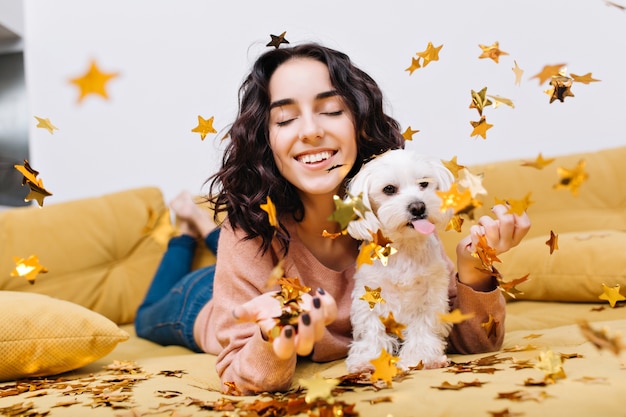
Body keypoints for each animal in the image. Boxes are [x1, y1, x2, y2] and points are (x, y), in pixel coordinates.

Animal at [346, 149, 454, 370]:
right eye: (389, 189)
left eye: (424, 183)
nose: (418, 206)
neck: (404, 246)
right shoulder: (369, 294)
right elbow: (372, 329)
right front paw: (369, 360)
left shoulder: (430, 295)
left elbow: (423, 326)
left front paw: (420, 358)